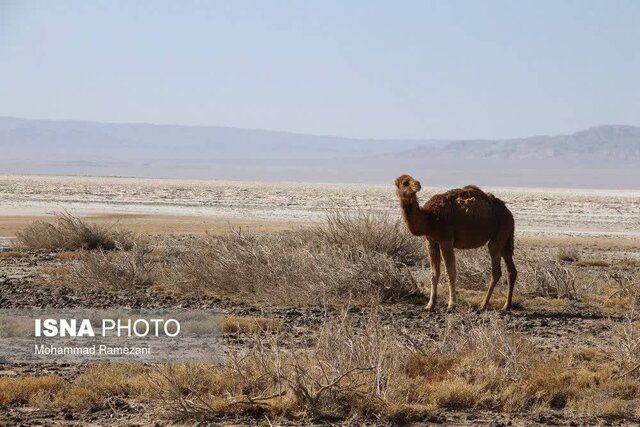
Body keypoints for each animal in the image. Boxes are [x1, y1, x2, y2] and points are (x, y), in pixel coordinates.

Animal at [396, 176, 516, 312]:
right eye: (404, 183)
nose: (418, 184)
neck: (428, 218)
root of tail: (509, 214)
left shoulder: (446, 240)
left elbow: (450, 272)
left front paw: (451, 305)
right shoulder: (431, 242)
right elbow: (434, 273)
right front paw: (430, 305)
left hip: (499, 235)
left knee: (496, 271)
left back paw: (483, 304)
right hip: (505, 239)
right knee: (511, 270)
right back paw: (506, 305)